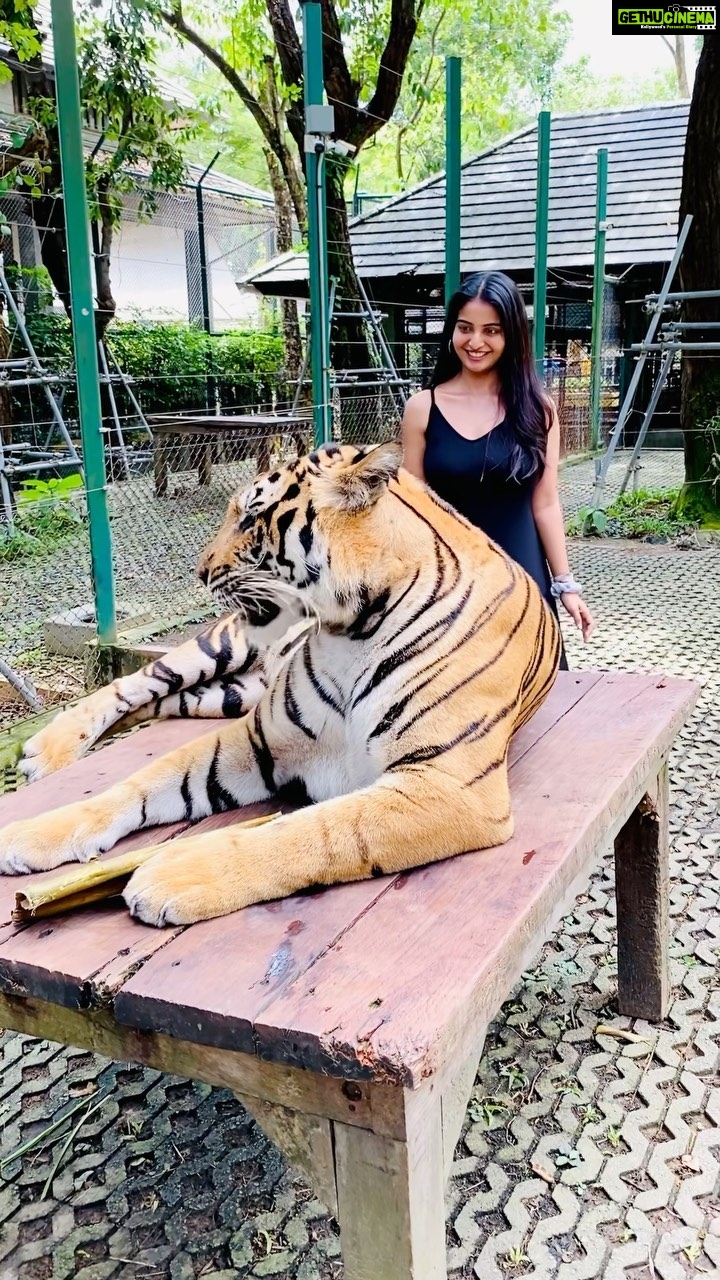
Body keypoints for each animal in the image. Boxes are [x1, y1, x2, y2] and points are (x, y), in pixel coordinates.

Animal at [0, 445, 561, 926]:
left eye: (250, 518)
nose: (199, 572)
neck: (352, 629)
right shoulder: (257, 738)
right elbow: (142, 781)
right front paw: (26, 834)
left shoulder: (449, 784)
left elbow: (319, 831)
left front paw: (174, 874)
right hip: (221, 647)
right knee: (132, 684)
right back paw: (47, 751)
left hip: (224, 695)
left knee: (158, 703)